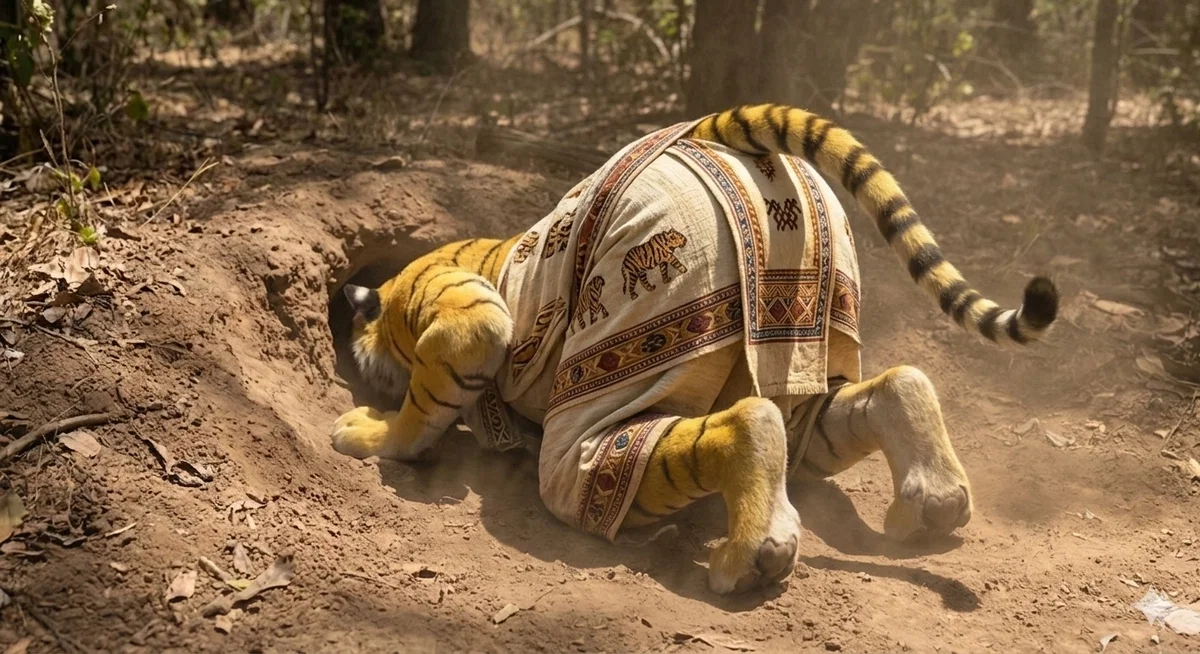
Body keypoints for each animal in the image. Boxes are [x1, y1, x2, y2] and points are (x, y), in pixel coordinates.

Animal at [332, 104, 1058, 595]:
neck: (396, 302)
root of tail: (710, 132)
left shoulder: (463, 319)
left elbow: (422, 412)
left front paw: (370, 433)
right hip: (804, 339)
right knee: (893, 386)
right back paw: (933, 503)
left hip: (630, 353)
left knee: (669, 443)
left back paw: (754, 557)